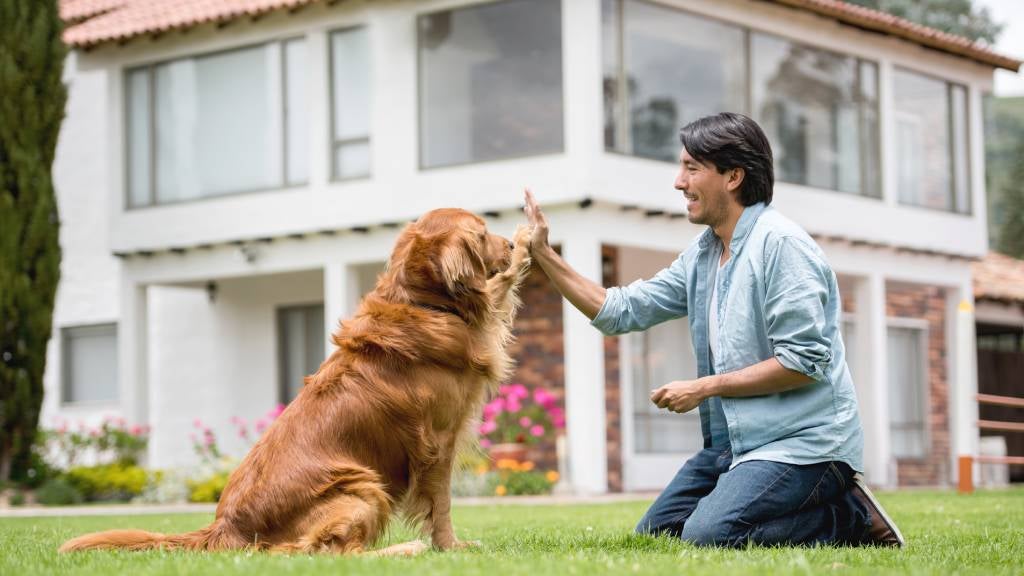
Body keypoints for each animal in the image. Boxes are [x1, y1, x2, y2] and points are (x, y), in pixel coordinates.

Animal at [61, 208, 536, 553]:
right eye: (481, 234)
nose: (509, 242)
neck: (422, 303)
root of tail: (224, 527)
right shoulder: (437, 442)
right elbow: (441, 506)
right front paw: (450, 547)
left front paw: (526, 242)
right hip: (362, 486)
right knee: (323, 553)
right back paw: (403, 552)